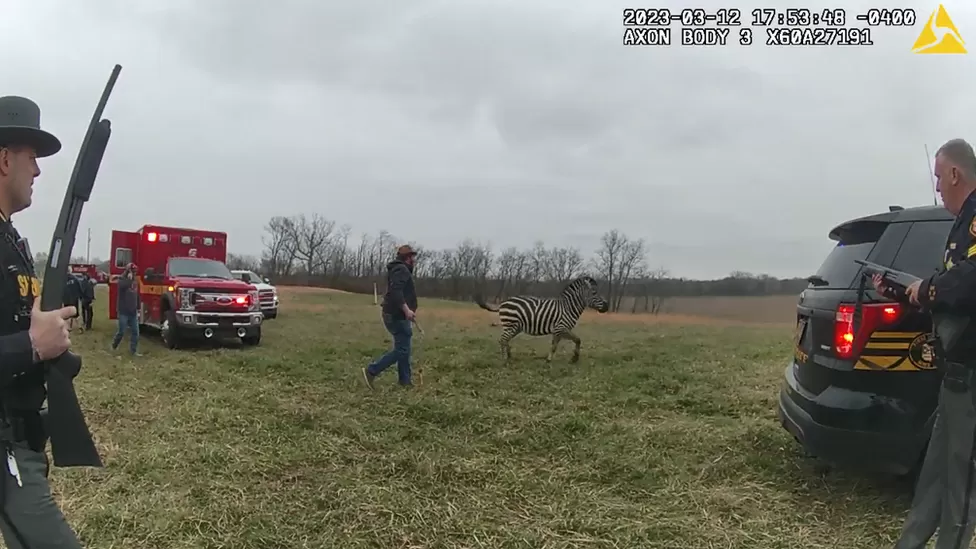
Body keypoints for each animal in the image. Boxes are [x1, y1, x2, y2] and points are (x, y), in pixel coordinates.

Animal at [474, 276, 610, 364]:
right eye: (594, 293)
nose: (607, 306)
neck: (568, 307)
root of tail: (503, 302)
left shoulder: (558, 331)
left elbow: (555, 345)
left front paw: (549, 359)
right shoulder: (561, 328)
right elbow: (577, 340)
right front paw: (574, 358)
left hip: (515, 327)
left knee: (506, 340)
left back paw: (510, 356)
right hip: (511, 325)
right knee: (502, 339)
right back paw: (504, 360)